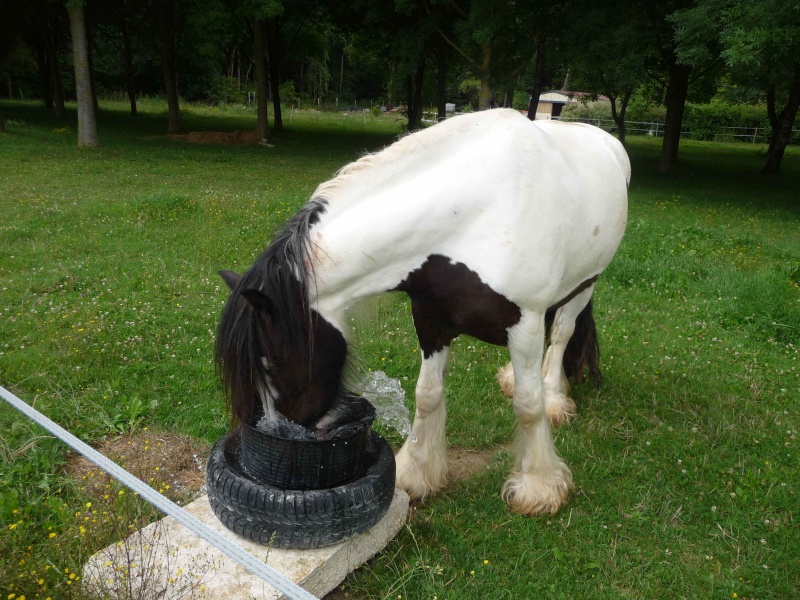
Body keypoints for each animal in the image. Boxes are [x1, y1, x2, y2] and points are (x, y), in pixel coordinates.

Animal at [219, 109, 632, 516]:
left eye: (273, 361)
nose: (281, 433)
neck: (475, 213)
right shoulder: (430, 321)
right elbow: (427, 394)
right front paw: (416, 472)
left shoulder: (524, 323)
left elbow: (529, 406)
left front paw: (538, 487)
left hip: (584, 285)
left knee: (561, 335)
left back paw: (556, 397)